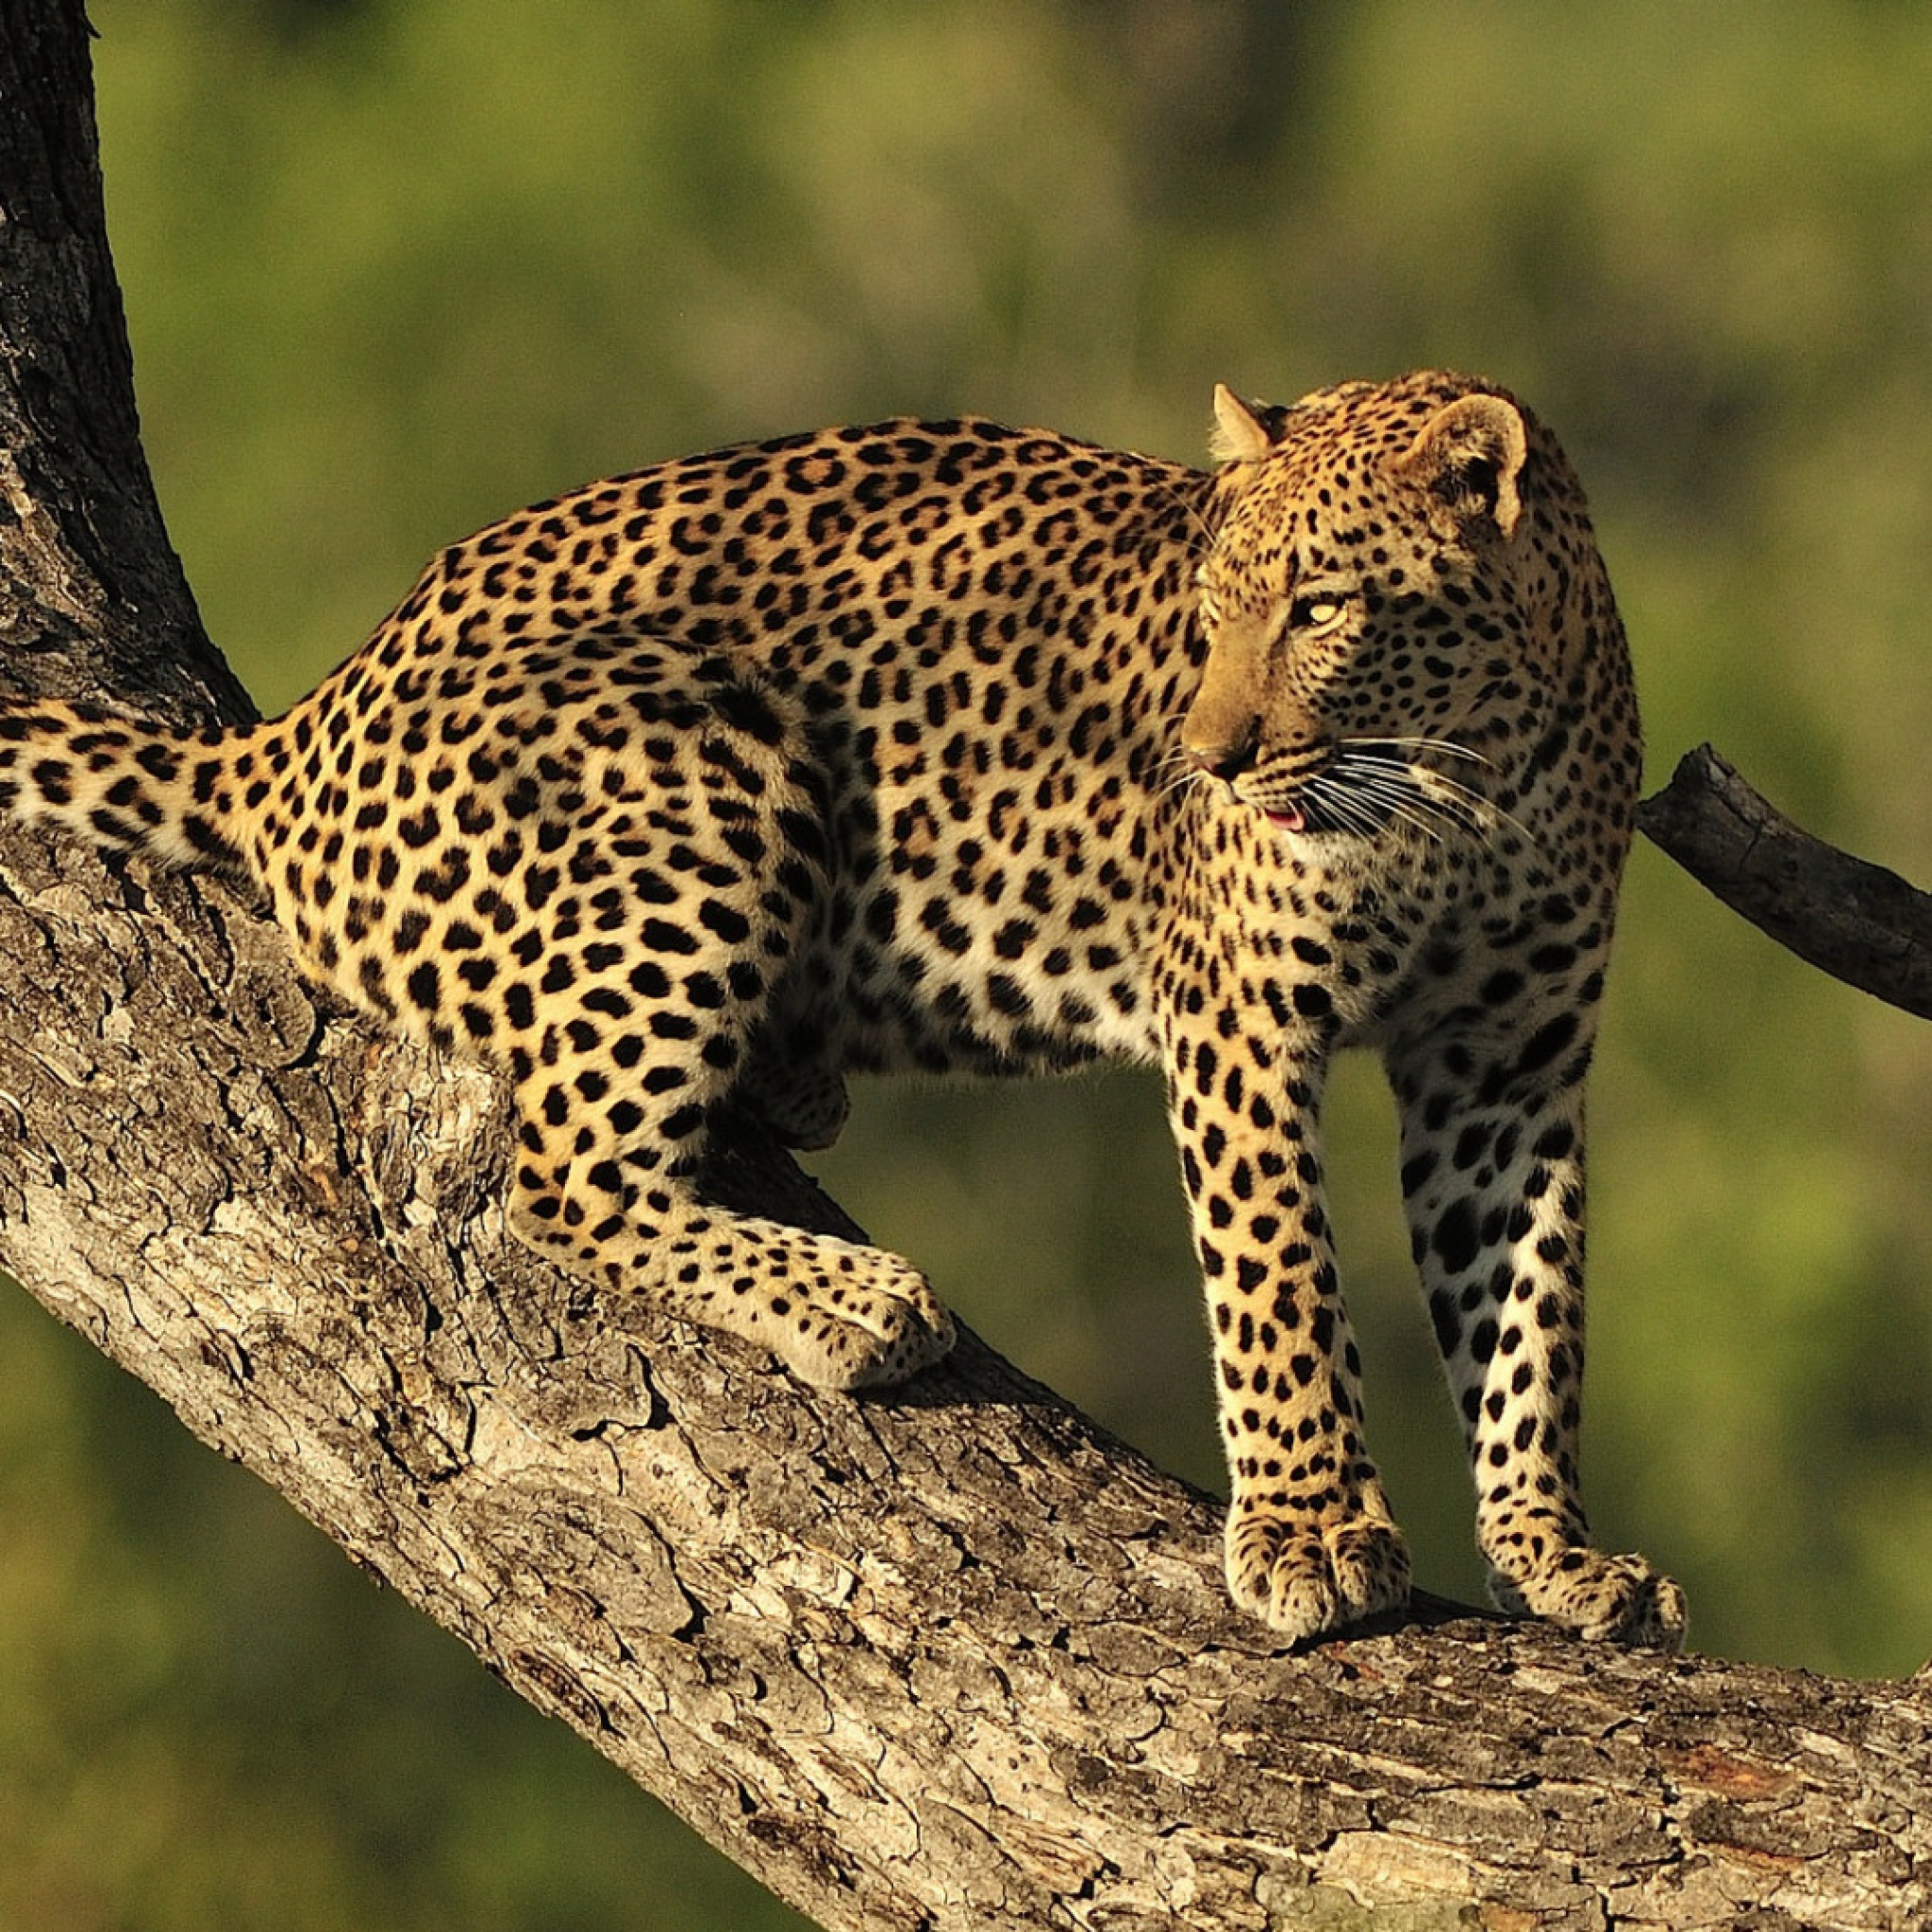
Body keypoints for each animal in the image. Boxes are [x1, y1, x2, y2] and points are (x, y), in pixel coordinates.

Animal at [0, 373, 1692, 1645]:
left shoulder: (1508, 1063)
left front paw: (1553, 1555)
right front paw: (1311, 1529)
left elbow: (1530, 1313)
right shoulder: (1243, 1020)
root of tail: (295, 729)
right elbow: (1278, 1277)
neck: (1465, 775)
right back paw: (852, 1298)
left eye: (1323, 607)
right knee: (569, 1176)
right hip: (701, 765)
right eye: (1211, 614)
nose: (1203, 760)